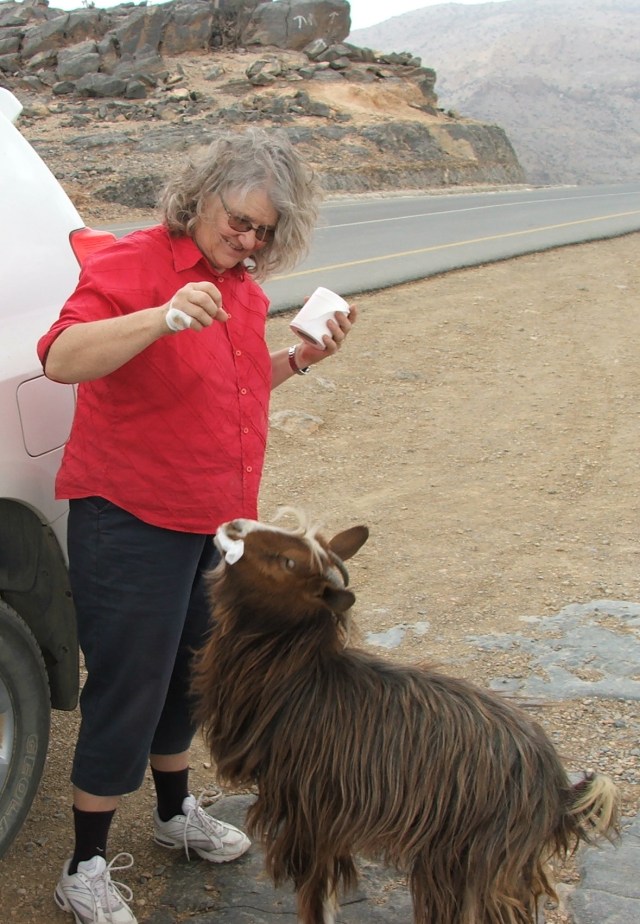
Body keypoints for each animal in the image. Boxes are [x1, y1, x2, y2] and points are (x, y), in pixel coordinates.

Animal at [191, 510, 619, 924]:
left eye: (288, 561)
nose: (234, 526)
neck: (302, 681)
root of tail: (557, 790)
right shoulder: (328, 823)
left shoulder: (310, 814)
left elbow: (314, 896)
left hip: (468, 864)